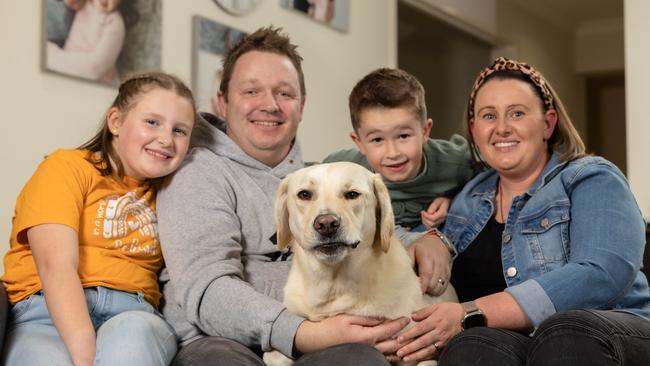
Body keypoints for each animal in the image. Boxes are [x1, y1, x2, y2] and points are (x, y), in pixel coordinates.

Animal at [264, 163, 456, 366]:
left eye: (352, 194)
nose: (326, 224)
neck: (333, 286)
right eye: (304, 194)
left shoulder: (420, 353)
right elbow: (272, 355)